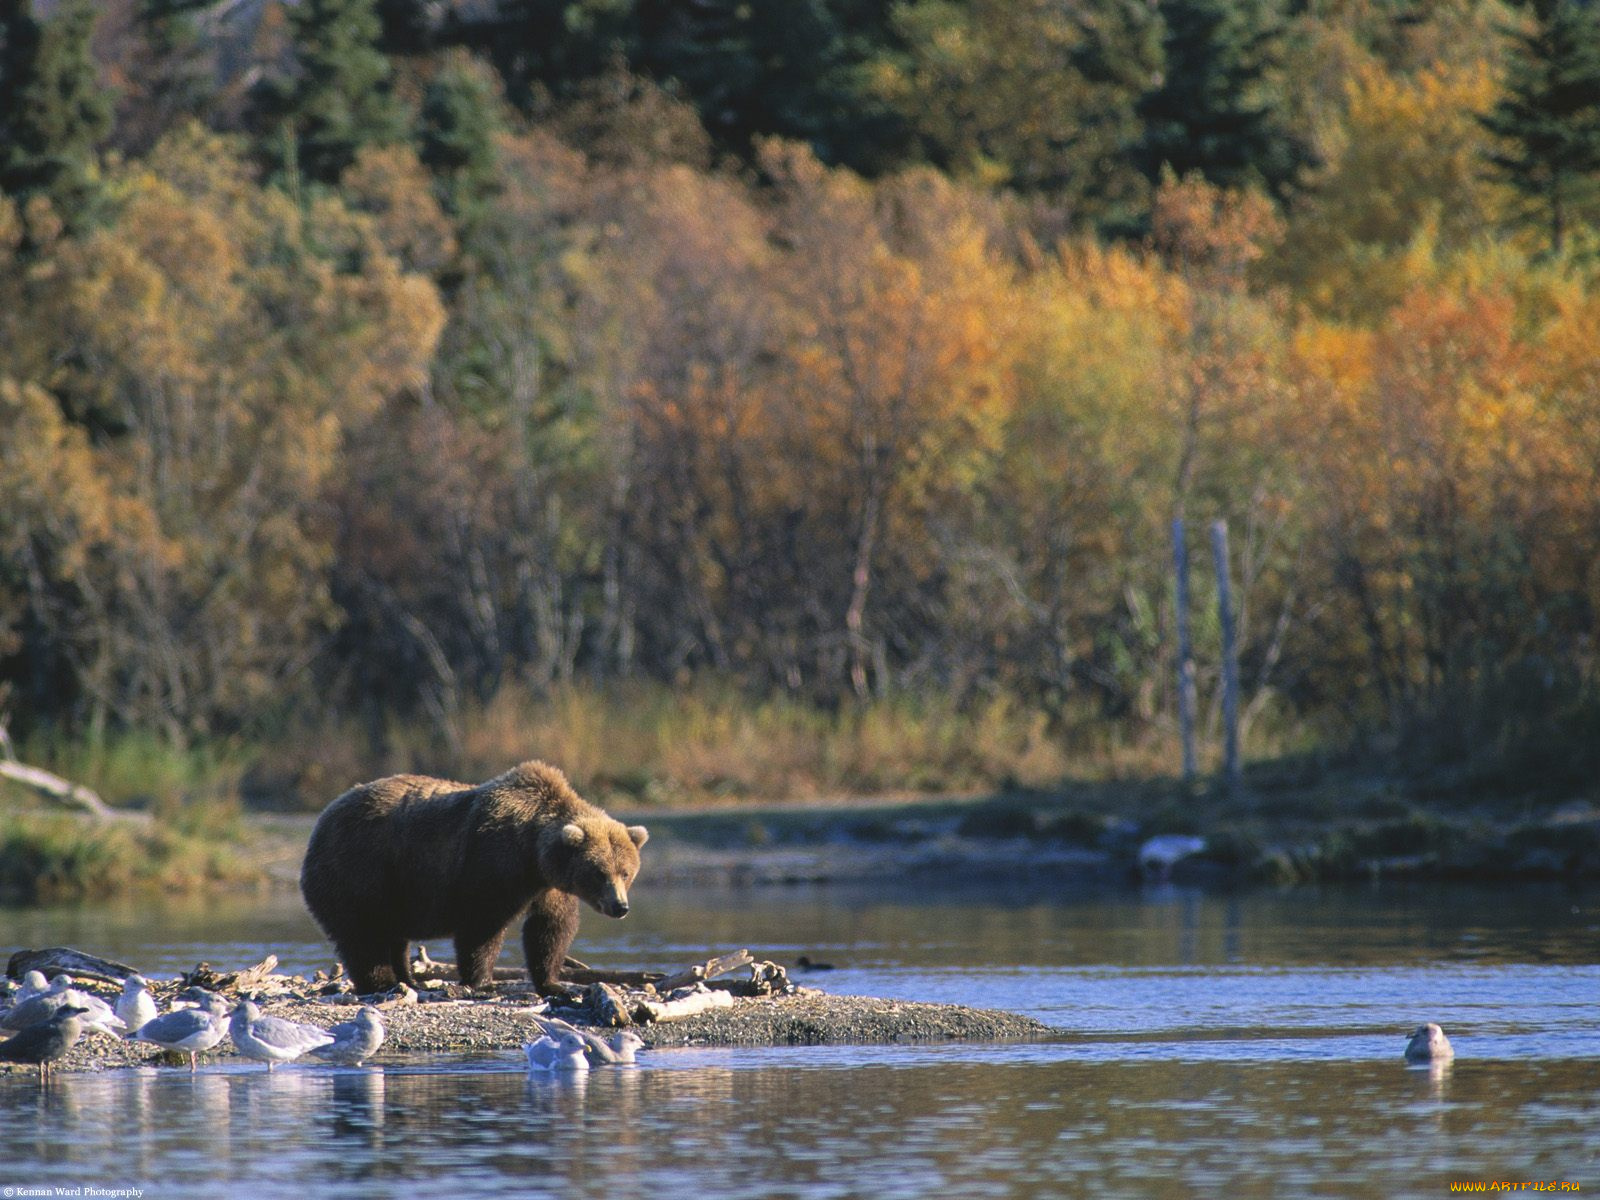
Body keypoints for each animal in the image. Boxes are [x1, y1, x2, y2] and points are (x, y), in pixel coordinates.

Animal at [299, 760, 647, 995]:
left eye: (626, 872)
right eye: (599, 872)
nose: (620, 906)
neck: (534, 852)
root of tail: (323, 818)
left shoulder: (548, 885)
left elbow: (551, 928)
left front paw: (554, 983)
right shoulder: (491, 862)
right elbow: (482, 926)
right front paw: (482, 981)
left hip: (393, 888)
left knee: (392, 934)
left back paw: (407, 979)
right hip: (359, 869)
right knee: (363, 932)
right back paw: (383, 982)